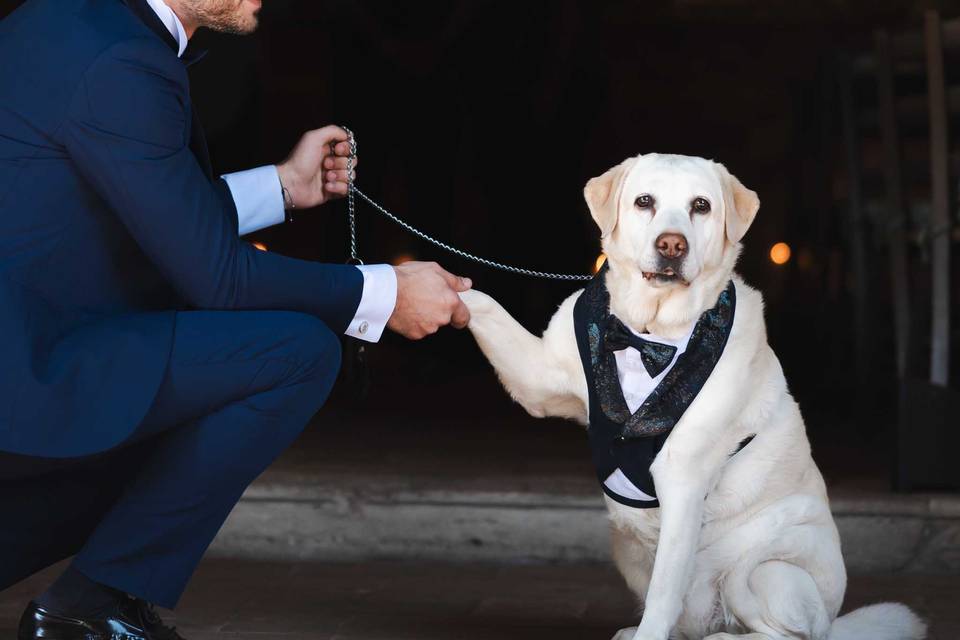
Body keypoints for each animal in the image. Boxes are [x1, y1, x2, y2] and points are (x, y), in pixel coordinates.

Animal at [462, 155, 928, 640]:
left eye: (700, 206)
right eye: (644, 201)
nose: (672, 245)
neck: (648, 335)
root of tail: (835, 621)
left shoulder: (682, 476)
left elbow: (665, 592)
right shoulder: (538, 376)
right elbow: (480, 301)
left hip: (764, 573)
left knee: (777, 628)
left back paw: (724, 636)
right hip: (628, 546)